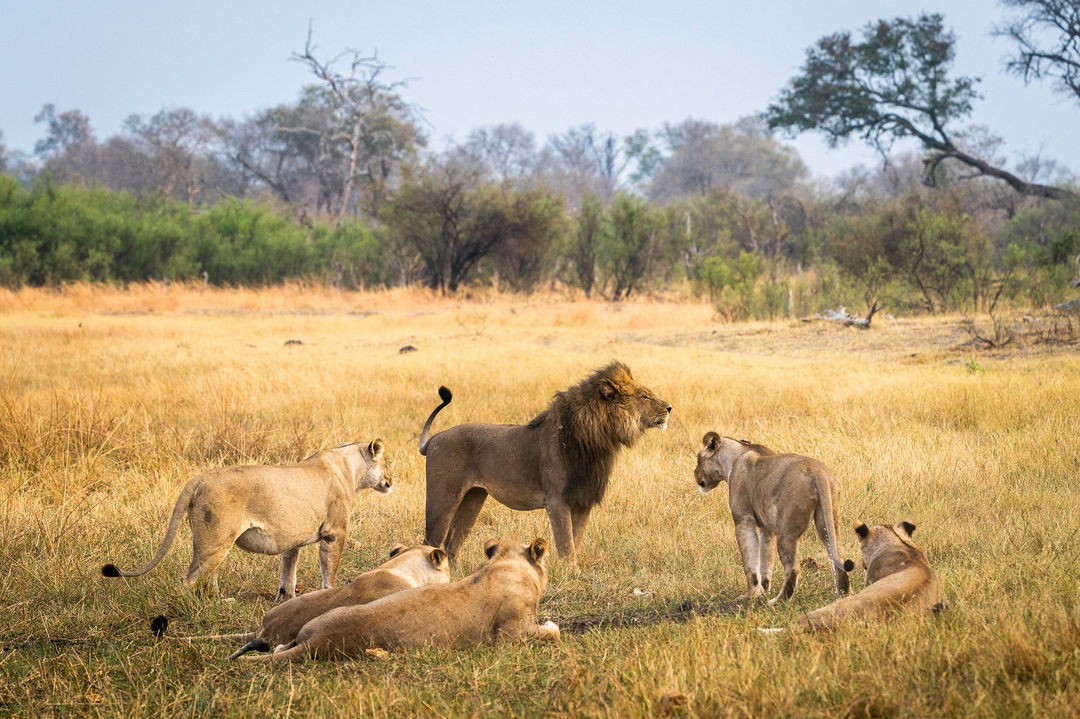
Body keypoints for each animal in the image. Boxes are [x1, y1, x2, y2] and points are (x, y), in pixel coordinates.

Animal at [102, 440, 392, 598]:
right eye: (388, 464)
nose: (393, 480)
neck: (350, 467)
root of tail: (200, 478)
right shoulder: (334, 532)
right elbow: (329, 568)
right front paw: (328, 592)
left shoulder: (292, 539)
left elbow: (288, 573)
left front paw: (286, 598)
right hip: (216, 540)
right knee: (189, 579)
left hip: (214, 543)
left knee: (208, 576)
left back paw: (220, 601)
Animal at [418, 361, 671, 565]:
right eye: (644, 396)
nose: (669, 408)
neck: (596, 439)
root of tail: (434, 439)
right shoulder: (557, 500)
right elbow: (566, 545)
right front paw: (571, 573)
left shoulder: (583, 500)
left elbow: (575, 540)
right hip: (443, 498)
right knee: (430, 542)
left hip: (473, 498)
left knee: (452, 544)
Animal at [695, 432, 854, 602]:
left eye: (698, 458)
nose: (695, 475)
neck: (736, 455)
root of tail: (818, 473)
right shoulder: (767, 528)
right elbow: (766, 560)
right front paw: (763, 591)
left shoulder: (743, 520)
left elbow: (750, 563)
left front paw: (750, 595)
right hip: (828, 520)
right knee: (837, 555)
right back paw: (843, 594)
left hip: (787, 530)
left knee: (793, 568)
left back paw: (777, 601)